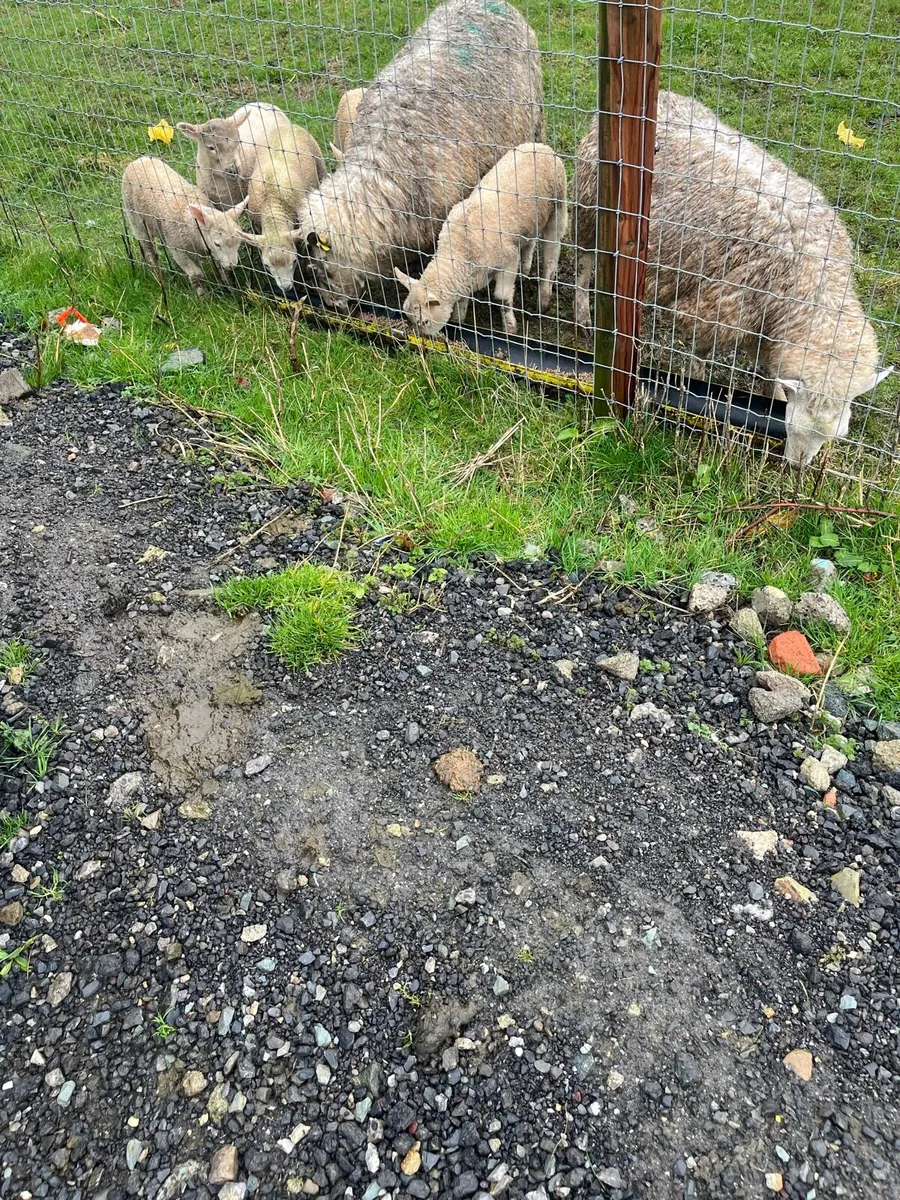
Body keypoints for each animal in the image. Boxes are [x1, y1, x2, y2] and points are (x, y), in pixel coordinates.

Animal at [121, 156, 248, 295]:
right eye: (217, 244)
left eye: (239, 242)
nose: (233, 265)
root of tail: (138, 161)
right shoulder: (178, 250)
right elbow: (196, 275)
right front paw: (203, 297)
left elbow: (222, 270)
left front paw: (231, 289)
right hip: (136, 221)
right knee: (149, 251)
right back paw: (159, 278)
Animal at [394, 142, 567, 336]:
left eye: (424, 322)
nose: (420, 339)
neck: (459, 247)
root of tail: (541, 146)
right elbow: (461, 304)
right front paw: (458, 322)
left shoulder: (508, 261)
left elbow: (502, 297)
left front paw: (510, 328)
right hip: (530, 222)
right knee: (529, 243)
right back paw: (525, 270)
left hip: (558, 209)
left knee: (551, 254)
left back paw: (543, 299)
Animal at [571, 91, 892, 466]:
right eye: (794, 424)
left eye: (838, 435)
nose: (796, 468)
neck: (811, 278)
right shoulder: (711, 311)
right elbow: (698, 359)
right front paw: (695, 393)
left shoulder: (765, 329)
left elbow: (769, 374)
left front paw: (772, 397)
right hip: (590, 211)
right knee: (583, 262)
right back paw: (583, 315)